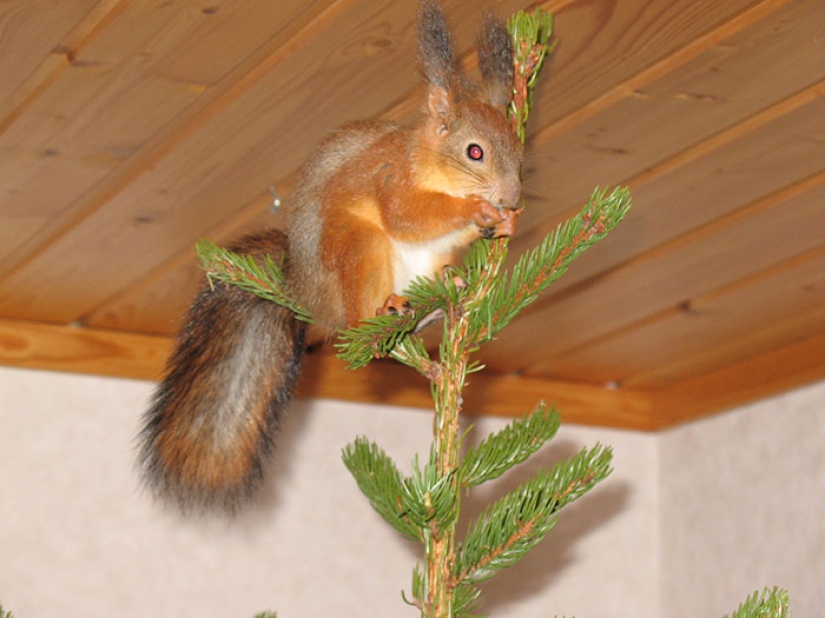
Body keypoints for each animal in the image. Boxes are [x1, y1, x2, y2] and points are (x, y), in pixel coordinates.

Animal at [137, 0, 520, 512]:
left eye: (518, 150)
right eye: (474, 152)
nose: (512, 197)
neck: (429, 162)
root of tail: (307, 293)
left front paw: (505, 223)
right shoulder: (390, 179)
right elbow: (407, 216)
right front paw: (476, 210)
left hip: (423, 267)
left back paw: (448, 292)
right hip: (357, 244)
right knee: (358, 316)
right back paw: (386, 308)